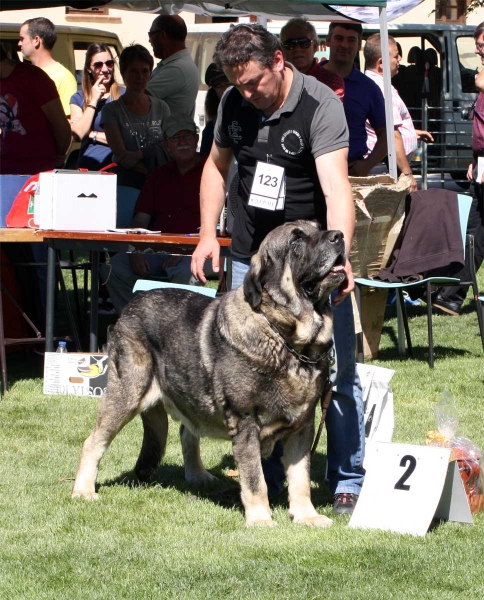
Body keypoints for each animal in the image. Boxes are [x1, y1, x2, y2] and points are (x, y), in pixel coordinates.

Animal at [71, 219, 344, 524]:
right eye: (296, 240)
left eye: (318, 227)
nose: (339, 236)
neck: (287, 340)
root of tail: (130, 306)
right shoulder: (246, 423)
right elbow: (255, 480)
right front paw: (261, 519)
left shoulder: (302, 427)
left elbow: (300, 478)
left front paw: (307, 516)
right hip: (127, 394)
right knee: (93, 442)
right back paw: (83, 490)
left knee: (187, 431)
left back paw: (198, 475)